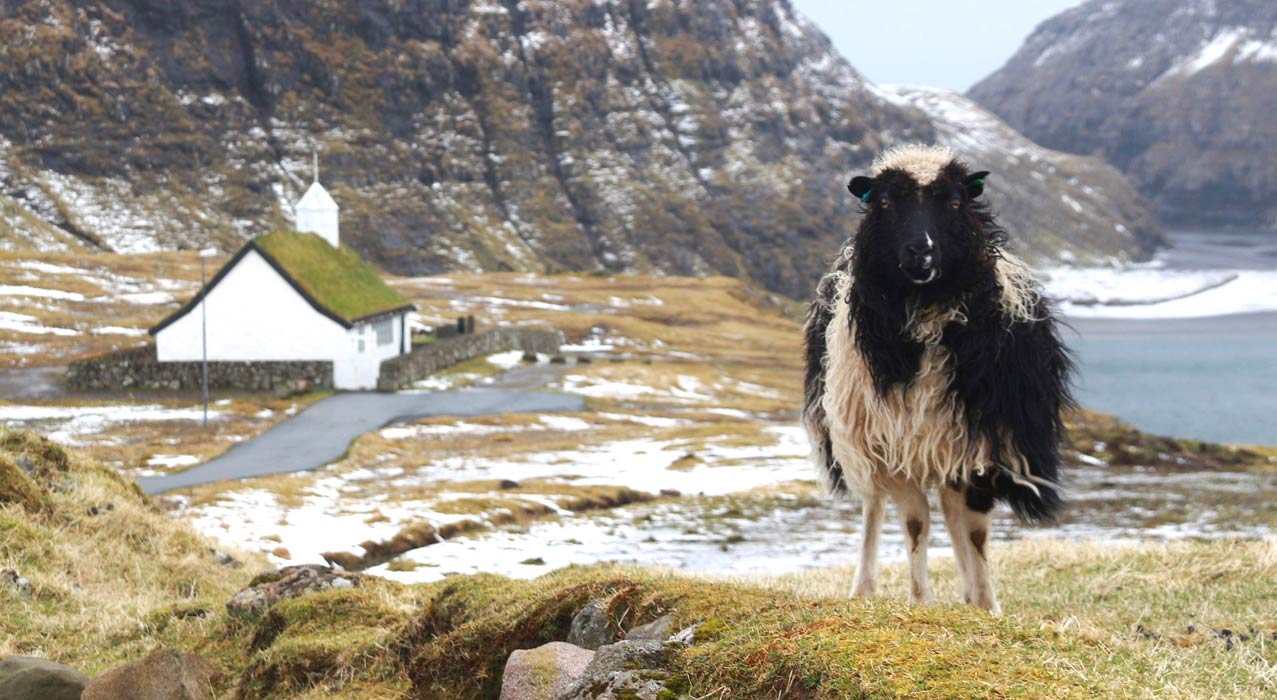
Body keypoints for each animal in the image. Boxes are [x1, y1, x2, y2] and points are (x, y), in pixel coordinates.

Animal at [801, 143, 1072, 613]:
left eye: (955, 202)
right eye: (886, 203)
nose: (920, 252)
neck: (927, 308)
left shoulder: (982, 444)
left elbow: (976, 531)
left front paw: (987, 604)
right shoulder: (896, 443)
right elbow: (915, 524)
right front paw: (920, 600)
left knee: (952, 509)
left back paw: (967, 591)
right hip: (859, 435)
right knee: (874, 507)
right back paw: (863, 586)